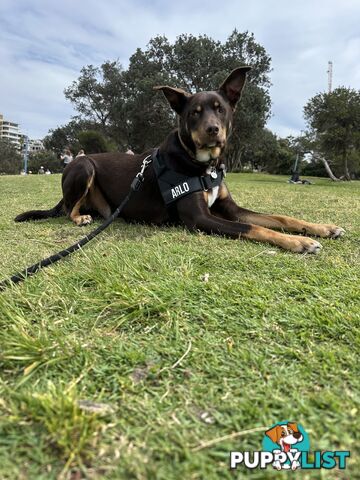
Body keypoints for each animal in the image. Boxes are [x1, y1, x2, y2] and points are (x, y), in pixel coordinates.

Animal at [14, 69, 346, 255]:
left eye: (220, 109)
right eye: (194, 113)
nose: (212, 130)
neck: (201, 164)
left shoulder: (230, 208)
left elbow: (279, 218)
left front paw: (320, 228)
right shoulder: (200, 218)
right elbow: (254, 228)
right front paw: (298, 243)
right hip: (83, 166)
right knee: (68, 209)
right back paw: (79, 217)